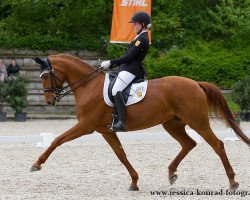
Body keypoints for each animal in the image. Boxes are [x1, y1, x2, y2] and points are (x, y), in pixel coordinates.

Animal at [31, 54, 250, 191]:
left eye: (45, 77)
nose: (49, 101)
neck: (88, 85)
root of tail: (196, 83)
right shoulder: (106, 131)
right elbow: (121, 155)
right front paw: (134, 182)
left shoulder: (86, 126)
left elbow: (57, 140)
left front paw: (37, 164)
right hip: (172, 124)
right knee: (189, 143)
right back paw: (171, 174)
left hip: (197, 121)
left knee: (217, 145)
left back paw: (233, 182)